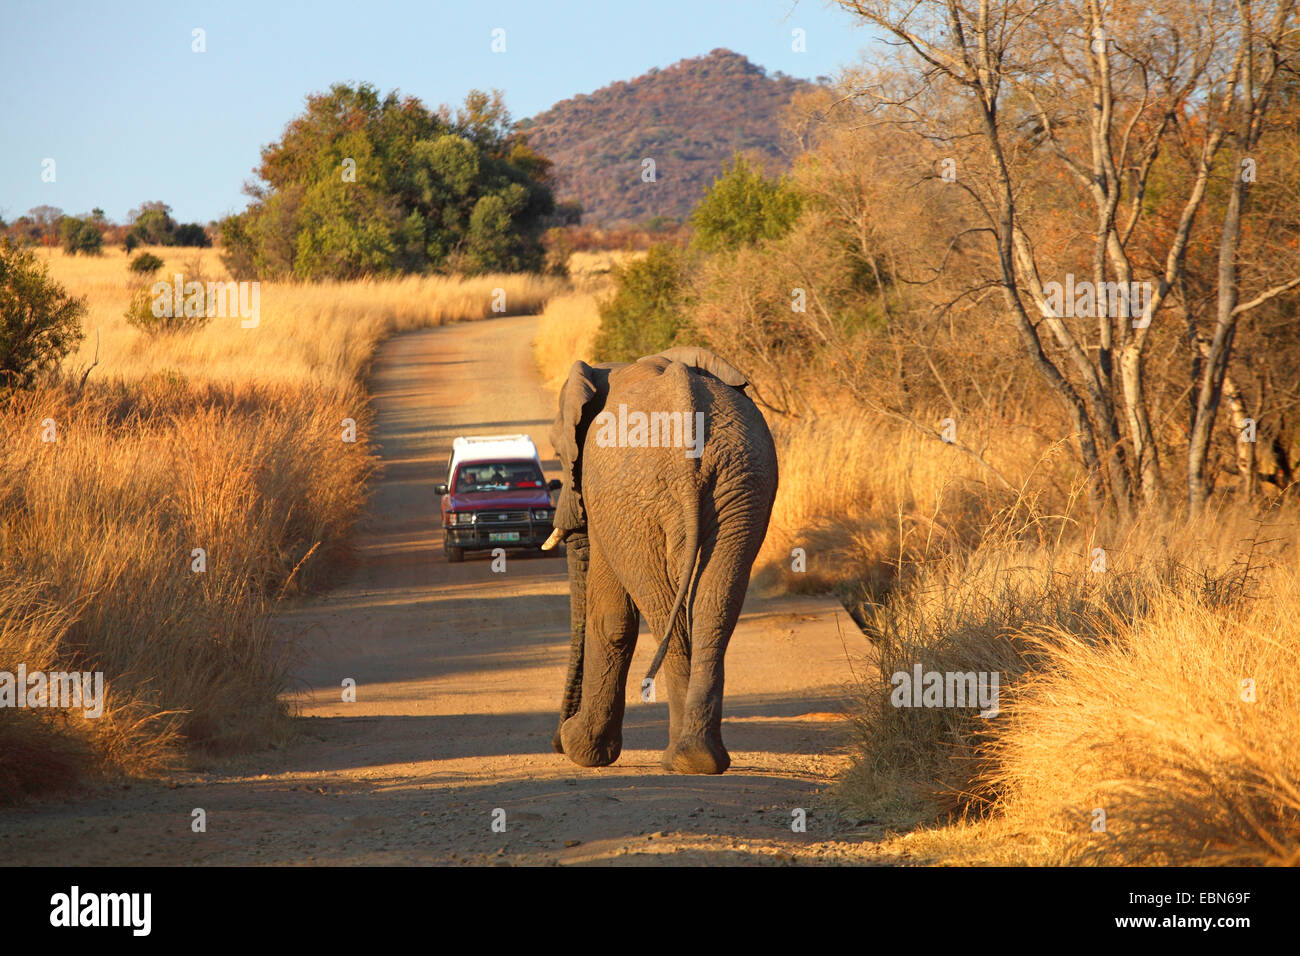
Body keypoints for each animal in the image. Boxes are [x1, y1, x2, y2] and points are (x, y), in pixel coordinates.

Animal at [543, 348, 774, 775]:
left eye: (557, 454)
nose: (555, 741)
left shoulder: (607, 515)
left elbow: (611, 618)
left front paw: (583, 751)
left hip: (635, 505)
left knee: (665, 610)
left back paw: (681, 759)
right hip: (743, 482)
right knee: (716, 605)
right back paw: (701, 758)